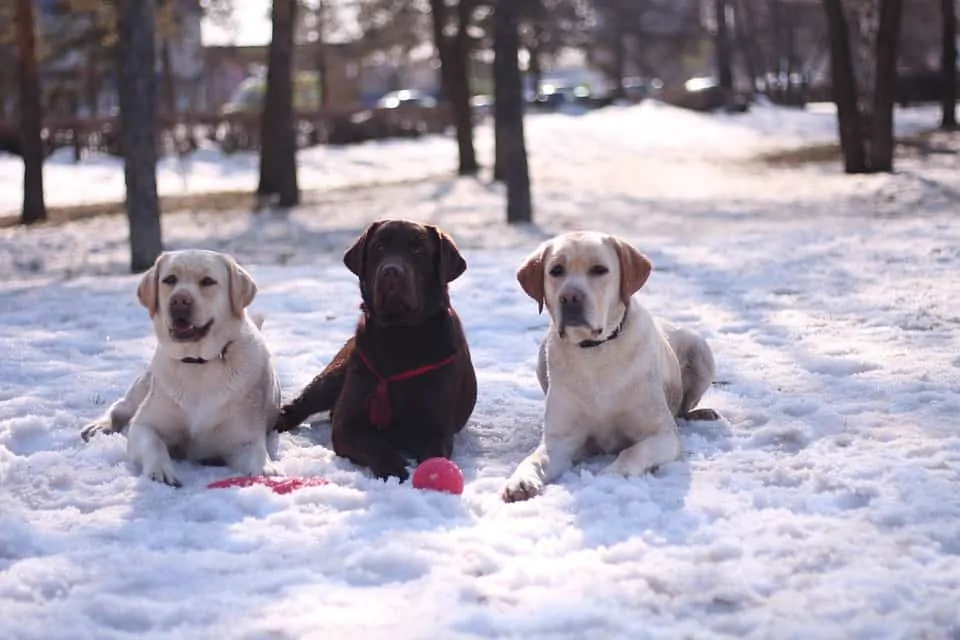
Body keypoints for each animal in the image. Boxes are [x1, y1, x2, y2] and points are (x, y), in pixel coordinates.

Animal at [81, 249, 282, 484]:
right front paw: (160, 471)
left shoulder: (244, 440)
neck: (198, 363)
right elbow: (154, 443)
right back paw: (99, 426)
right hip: (145, 383)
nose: (179, 300)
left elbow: (258, 455)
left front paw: (268, 472)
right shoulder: (144, 426)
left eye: (207, 281)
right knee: (121, 406)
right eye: (170, 280)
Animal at [274, 220, 476, 480]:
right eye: (379, 246)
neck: (398, 336)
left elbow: (434, 454)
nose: (391, 271)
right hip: (335, 373)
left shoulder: (437, 427)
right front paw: (395, 468)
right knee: (302, 403)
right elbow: (372, 444)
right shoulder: (346, 423)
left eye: (418, 249)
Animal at [502, 232, 712, 502]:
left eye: (599, 269)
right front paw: (521, 481)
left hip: (700, 349)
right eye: (556, 270)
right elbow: (534, 459)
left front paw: (614, 474)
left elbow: (632, 451)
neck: (595, 352)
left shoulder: (663, 434)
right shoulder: (559, 442)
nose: (569, 297)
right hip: (541, 357)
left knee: (686, 407)